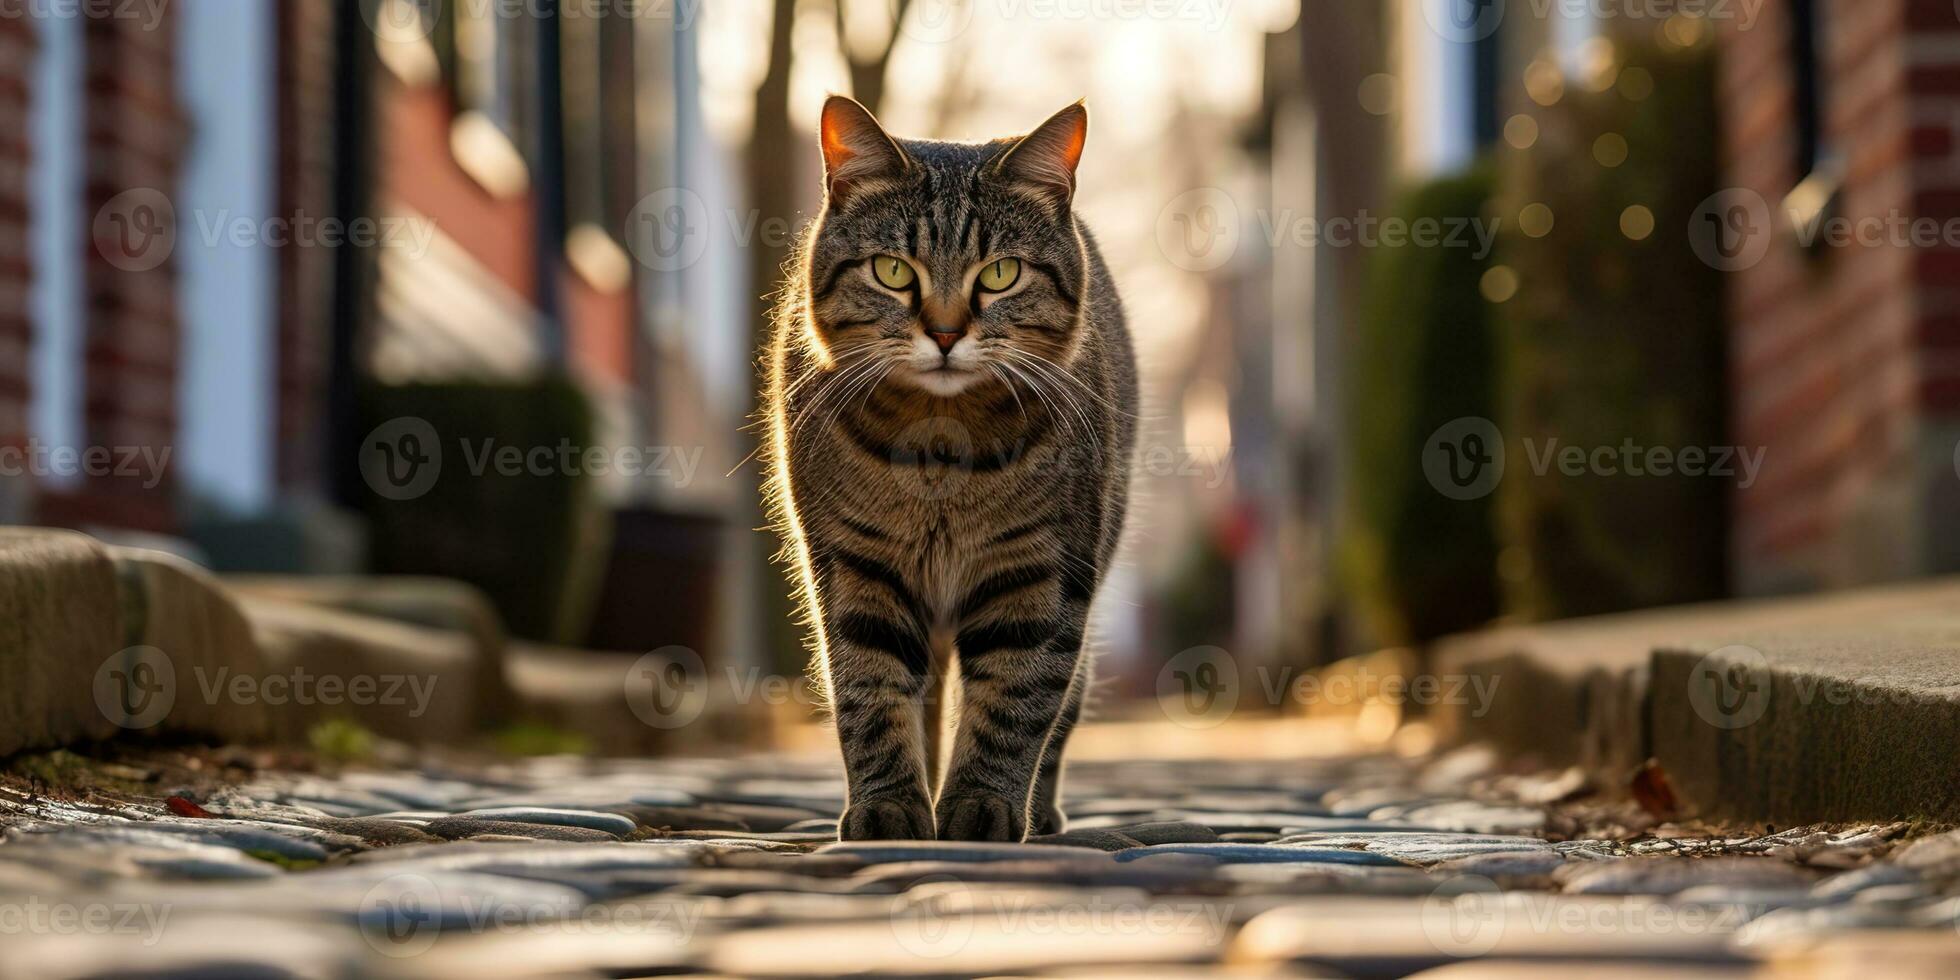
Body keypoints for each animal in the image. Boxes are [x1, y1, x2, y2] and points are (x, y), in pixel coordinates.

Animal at [760, 95, 1136, 838]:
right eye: (892, 271)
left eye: (1000, 274)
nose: (943, 332)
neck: (941, 453)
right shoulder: (856, 569)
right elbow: (871, 691)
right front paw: (890, 808)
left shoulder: (1041, 571)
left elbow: (1016, 698)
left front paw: (982, 805)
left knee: (1064, 698)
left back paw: (1039, 811)